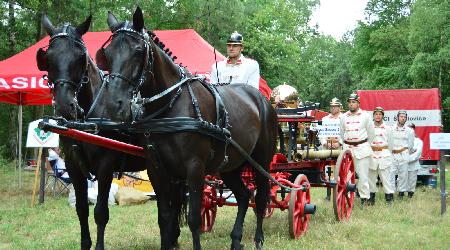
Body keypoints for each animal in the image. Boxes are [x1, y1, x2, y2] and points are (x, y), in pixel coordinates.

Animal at [35, 15, 167, 250]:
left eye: (80, 57)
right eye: (47, 57)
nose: (65, 105)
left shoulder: (105, 167)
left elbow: (100, 212)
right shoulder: (73, 166)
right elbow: (81, 209)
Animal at [95, 7, 278, 250]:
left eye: (137, 51)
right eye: (107, 53)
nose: (115, 104)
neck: (170, 104)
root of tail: (262, 100)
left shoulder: (194, 168)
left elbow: (193, 219)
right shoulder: (157, 170)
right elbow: (164, 217)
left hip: (261, 162)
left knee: (260, 198)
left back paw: (258, 239)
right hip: (230, 165)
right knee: (243, 194)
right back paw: (236, 239)